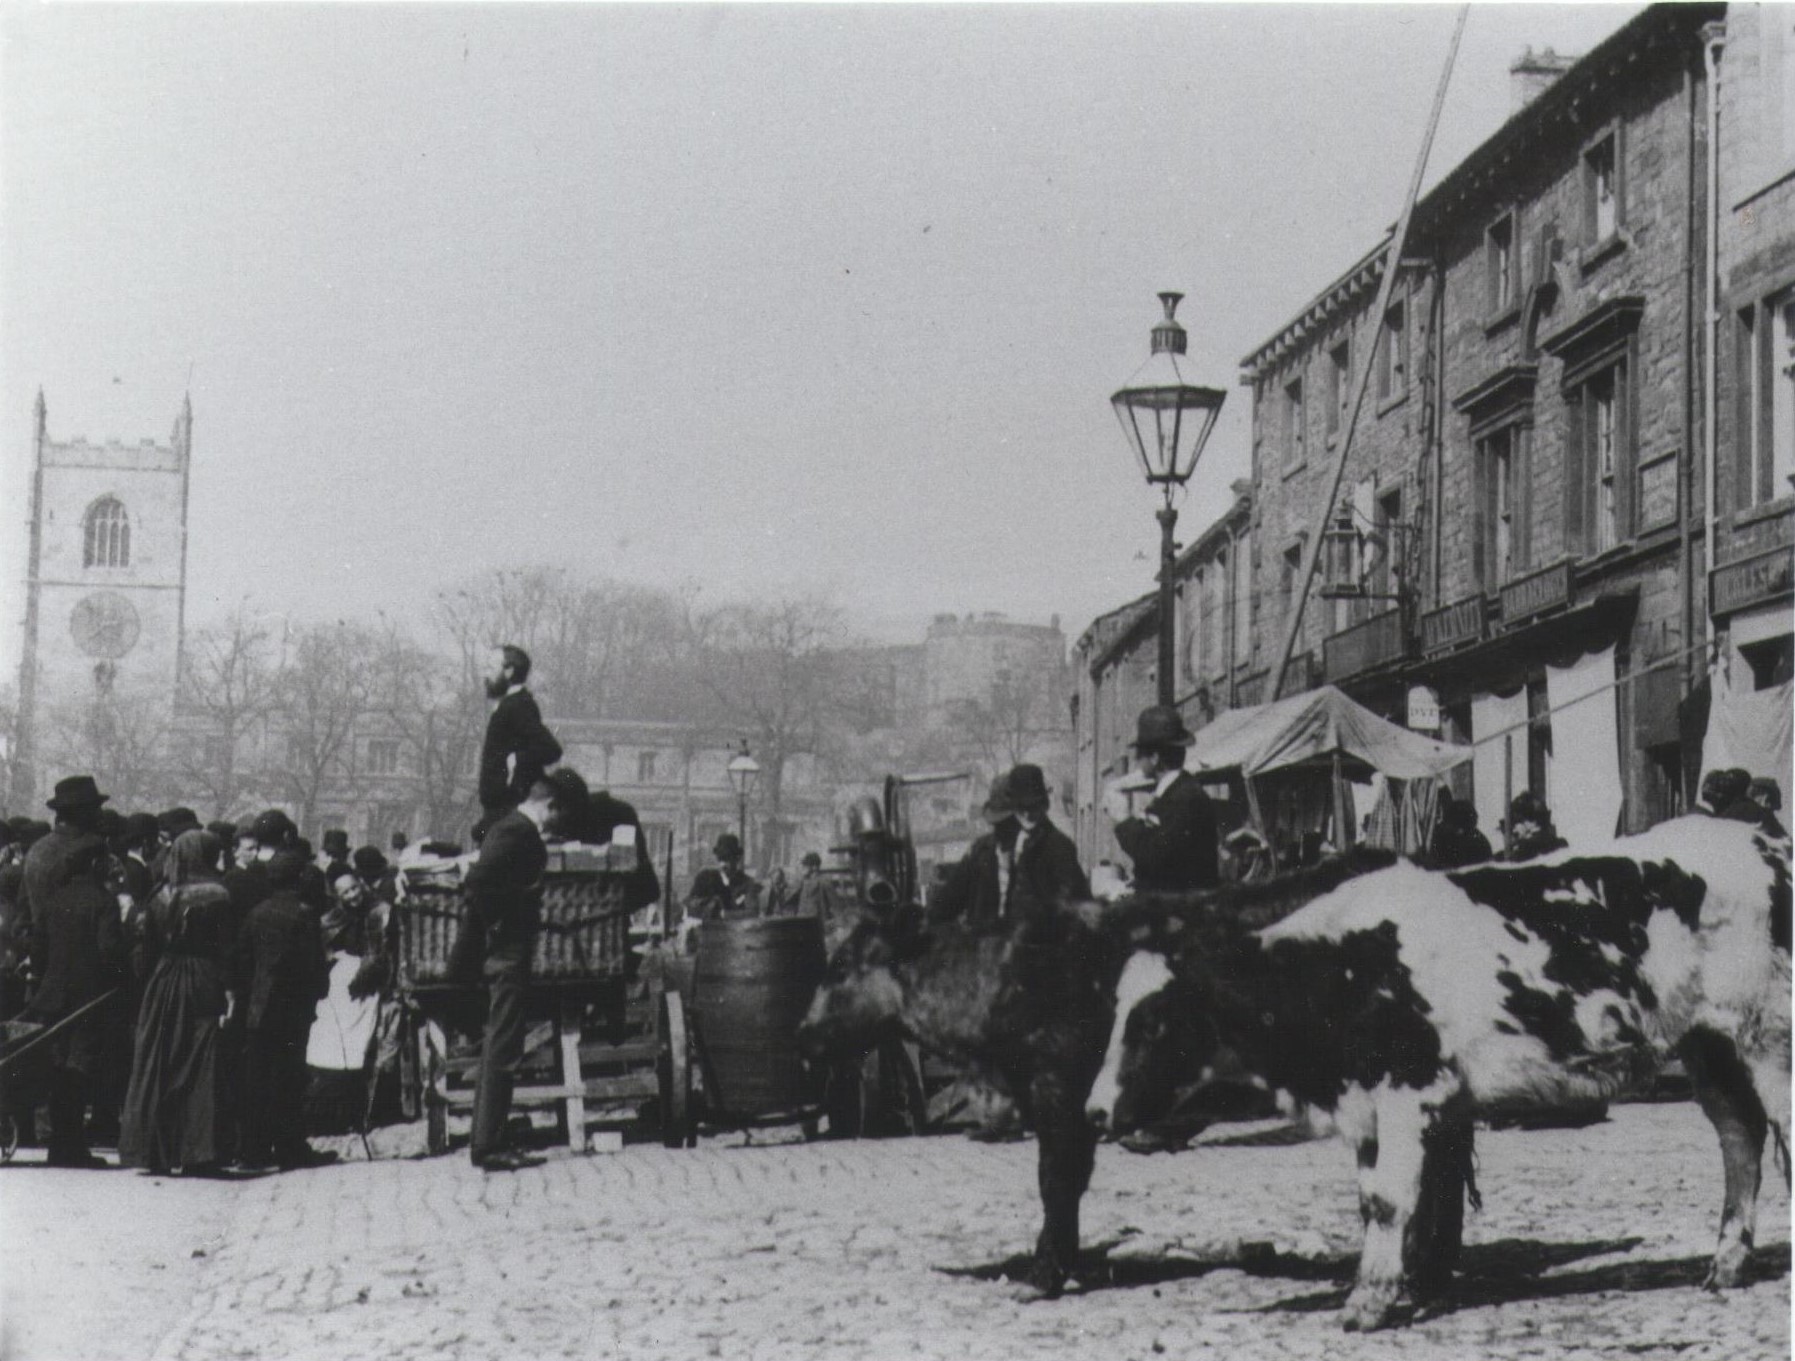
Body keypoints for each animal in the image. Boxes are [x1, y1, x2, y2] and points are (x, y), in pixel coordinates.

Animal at [1084, 815, 1787, 1335]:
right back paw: (1726, 1263)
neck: (1345, 966)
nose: (1094, 1112)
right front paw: (1393, 1286)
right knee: (1740, 1138)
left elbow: (1393, 1200)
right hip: (1710, 1046)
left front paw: (1369, 1304)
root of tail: (1763, 841)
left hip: (1768, 1037)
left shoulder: (1407, 1091)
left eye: (1154, 1023)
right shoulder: (1372, 1103)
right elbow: (1382, 1201)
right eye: (1114, 1011)